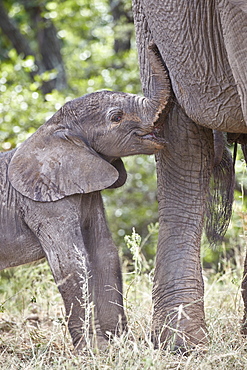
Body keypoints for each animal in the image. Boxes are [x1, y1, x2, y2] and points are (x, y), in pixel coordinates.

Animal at [0, 44, 170, 348]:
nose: (152, 46)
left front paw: (117, 345)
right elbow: (71, 262)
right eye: (116, 117)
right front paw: (93, 349)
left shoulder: (88, 189)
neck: (54, 126)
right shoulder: (44, 204)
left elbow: (103, 253)